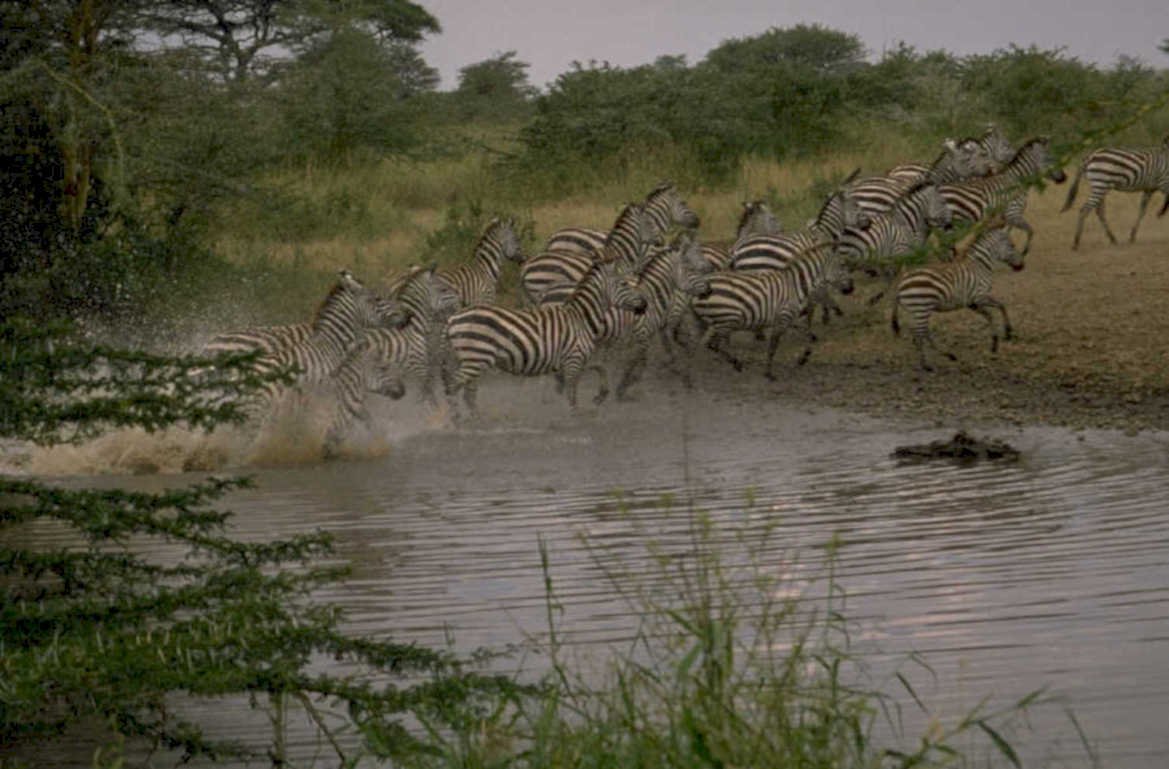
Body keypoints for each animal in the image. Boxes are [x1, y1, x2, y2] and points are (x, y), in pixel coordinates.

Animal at [445, 259, 648, 418]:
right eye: (624, 284)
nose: (645, 304)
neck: (581, 318)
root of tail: (453, 318)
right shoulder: (573, 358)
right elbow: (572, 389)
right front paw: (574, 413)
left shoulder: (575, 358)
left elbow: (600, 367)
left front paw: (600, 395)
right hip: (476, 357)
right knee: (452, 385)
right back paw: (455, 418)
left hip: (474, 359)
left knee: (468, 391)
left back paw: (475, 417)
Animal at [687, 245, 854, 380]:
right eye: (842, 265)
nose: (851, 289)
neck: (794, 285)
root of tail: (697, 291)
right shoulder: (783, 318)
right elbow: (773, 347)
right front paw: (769, 373)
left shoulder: (790, 318)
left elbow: (808, 335)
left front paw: (804, 358)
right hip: (727, 319)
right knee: (715, 345)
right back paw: (736, 363)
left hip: (714, 321)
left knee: (709, 345)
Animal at [891, 228, 1024, 371]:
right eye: (1012, 246)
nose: (1021, 266)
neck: (979, 266)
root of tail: (900, 283)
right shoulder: (980, 296)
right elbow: (1000, 306)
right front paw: (1008, 332)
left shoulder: (972, 303)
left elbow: (991, 314)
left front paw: (995, 343)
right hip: (922, 308)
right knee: (920, 333)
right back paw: (927, 364)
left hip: (917, 310)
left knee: (922, 332)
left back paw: (948, 355)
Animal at [938, 136, 1067, 255]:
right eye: (1049, 159)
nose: (1063, 178)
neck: (1016, 179)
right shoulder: (1013, 213)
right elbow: (1030, 231)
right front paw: (1024, 251)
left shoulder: (1005, 217)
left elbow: (1004, 233)